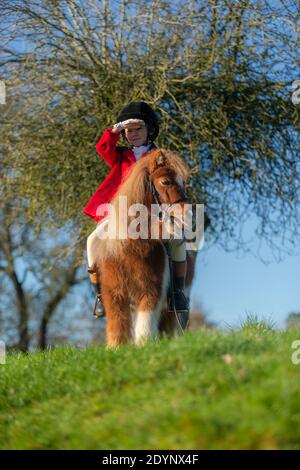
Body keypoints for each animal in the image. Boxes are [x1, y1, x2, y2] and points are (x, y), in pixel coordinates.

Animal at [94, 149, 197, 346]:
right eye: (165, 181)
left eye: (183, 182)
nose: (188, 215)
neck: (132, 247)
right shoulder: (115, 294)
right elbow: (117, 325)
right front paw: (116, 348)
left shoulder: (151, 291)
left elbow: (145, 327)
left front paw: (145, 346)